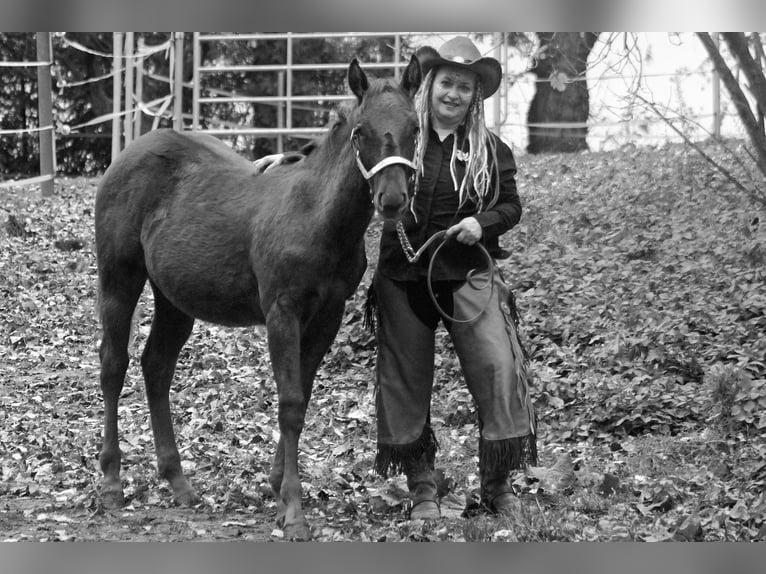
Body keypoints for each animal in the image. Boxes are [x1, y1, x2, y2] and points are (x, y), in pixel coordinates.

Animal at [94, 56, 422, 540]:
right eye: (361, 130)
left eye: (415, 127)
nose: (393, 199)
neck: (317, 216)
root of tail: (126, 156)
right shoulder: (281, 312)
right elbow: (289, 403)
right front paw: (295, 512)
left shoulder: (327, 315)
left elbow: (302, 395)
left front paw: (278, 491)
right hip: (119, 279)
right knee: (113, 366)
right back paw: (113, 483)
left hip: (175, 299)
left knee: (156, 367)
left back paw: (179, 483)